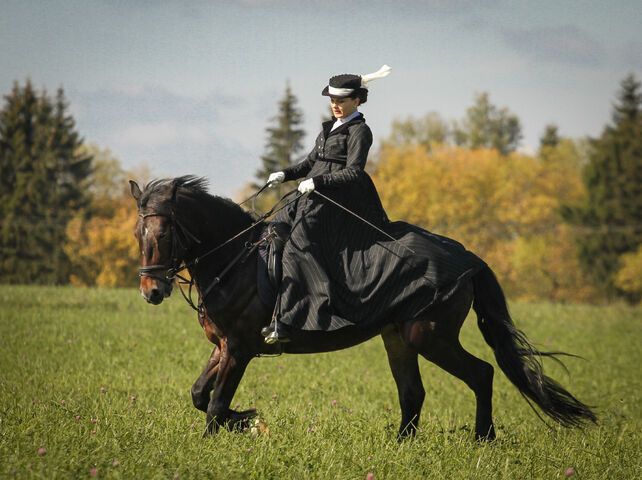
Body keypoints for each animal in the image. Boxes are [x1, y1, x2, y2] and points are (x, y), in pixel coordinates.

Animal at [130, 174, 596, 440]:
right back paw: (402, 446)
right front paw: (247, 420)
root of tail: (468, 258)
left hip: (431, 337)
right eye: (138, 233)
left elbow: (214, 405)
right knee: (413, 393)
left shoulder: (241, 348)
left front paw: (238, 426)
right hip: (400, 339)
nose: (151, 291)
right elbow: (199, 395)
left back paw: (483, 439)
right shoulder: (224, 346)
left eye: (164, 233)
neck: (235, 259)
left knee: (480, 374)